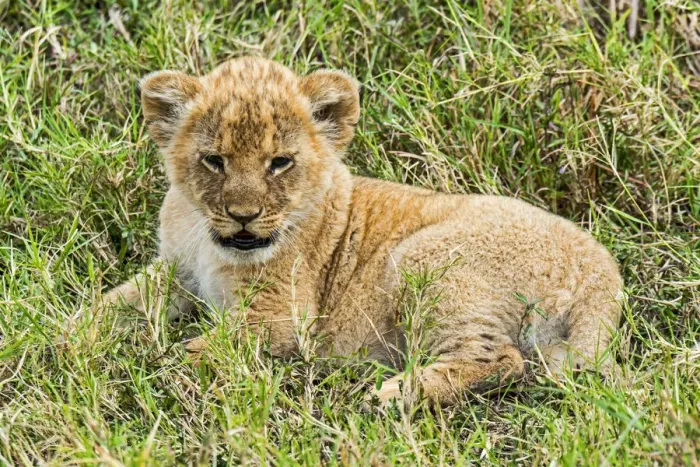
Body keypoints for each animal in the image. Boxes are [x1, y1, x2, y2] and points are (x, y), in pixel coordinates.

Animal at [104, 57, 623, 406]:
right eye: (214, 160)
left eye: (280, 163)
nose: (243, 215)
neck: (209, 241)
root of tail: (602, 267)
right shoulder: (176, 269)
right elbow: (114, 306)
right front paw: (85, 338)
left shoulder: (282, 319)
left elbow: (192, 352)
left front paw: (144, 365)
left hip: (422, 260)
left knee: (501, 361)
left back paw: (394, 394)